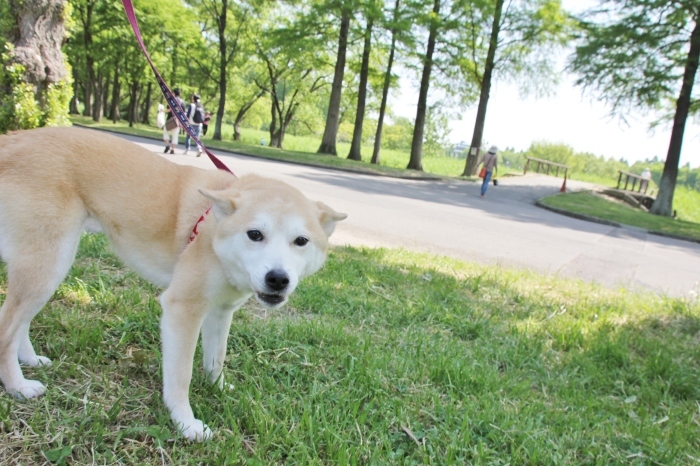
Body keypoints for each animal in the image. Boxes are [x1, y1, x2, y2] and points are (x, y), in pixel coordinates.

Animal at [0, 127, 348, 440]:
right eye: (254, 234)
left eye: (301, 241)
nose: (277, 279)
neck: (213, 231)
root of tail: (13, 138)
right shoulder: (183, 308)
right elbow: (181, 375)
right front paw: (185, 423)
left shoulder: (221, 312)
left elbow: (216, 358)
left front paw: (218, 388)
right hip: (49, 263)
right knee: (7, 330)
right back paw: (17, 386)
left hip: (49, 268)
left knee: (21, 322)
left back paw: (30, 359)